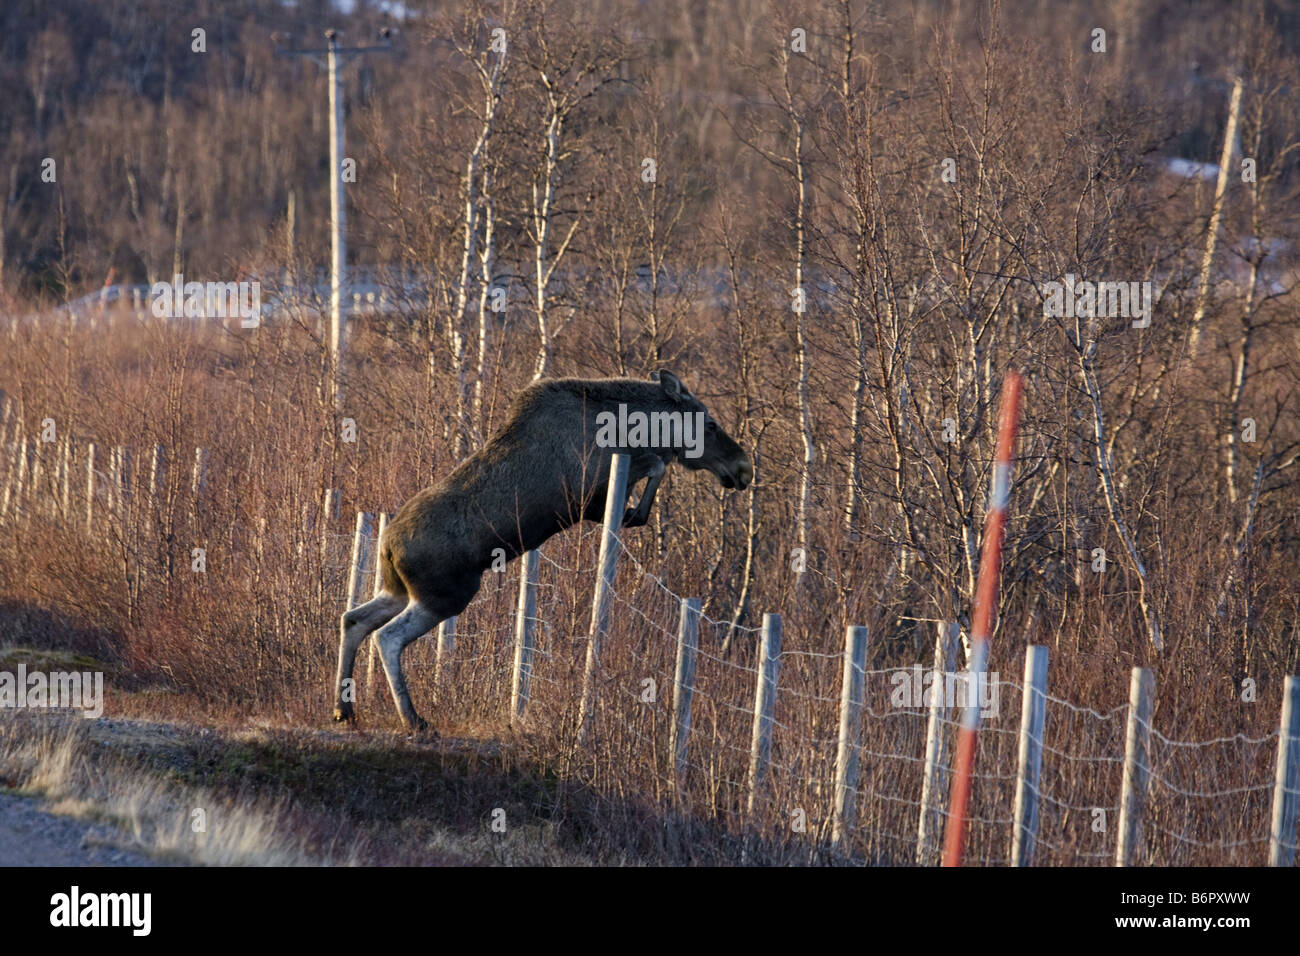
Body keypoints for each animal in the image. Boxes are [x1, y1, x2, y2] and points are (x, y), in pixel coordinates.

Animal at [332, 369, 754, 728]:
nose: (745, 468)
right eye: (711, 424)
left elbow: (654, 472)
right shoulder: (592, 495)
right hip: (443, 595)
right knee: (388, 637)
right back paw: (414, 719)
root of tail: (387, 546)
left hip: (398, 589)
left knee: (354, 619)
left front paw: (636, 512)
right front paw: (636, 512)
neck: (629, 429)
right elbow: (656, 466)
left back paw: (344, 708)